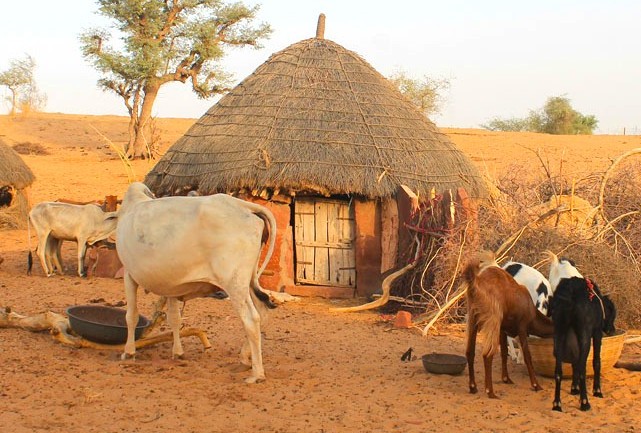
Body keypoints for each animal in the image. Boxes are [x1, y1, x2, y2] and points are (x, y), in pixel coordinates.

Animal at [116, 182, 277, 383]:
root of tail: (245, 207)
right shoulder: (171, 286)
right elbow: (174, 319)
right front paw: (178, 352)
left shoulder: (129, 275)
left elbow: (131, 316)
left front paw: (129, 352)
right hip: (248, 281)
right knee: (262, 313)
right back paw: (244, 358)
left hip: (234, 283)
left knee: (251, 319)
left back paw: (257, 374)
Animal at [464, 252, 555, 398]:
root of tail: (475, 285)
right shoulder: (522, 327)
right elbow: (527, 355)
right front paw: (536, 385)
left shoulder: (503, 328)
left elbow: (504, 352)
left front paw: (506, 378)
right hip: (492, 321)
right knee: (487, 354)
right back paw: (490, 392)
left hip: (473, 320)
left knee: (469, 352)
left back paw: (473, 387)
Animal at [546, 251, 617, 412]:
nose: (612, 331)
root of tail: (571, 293)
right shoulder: (596, 334)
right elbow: (596, 362)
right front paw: (597, 390)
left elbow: (574, 363)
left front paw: (574, 388)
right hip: (585, 337)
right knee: (583, 368)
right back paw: (585, 402)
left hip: (559, 335)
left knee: (558, 371)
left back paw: (557, 403)